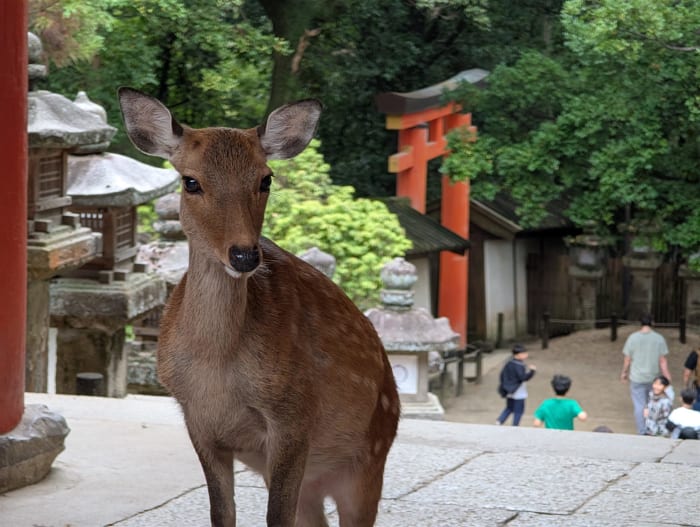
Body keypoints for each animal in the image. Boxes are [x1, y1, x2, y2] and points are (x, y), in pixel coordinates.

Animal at [118, 88, 400, 527]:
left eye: (265, 179)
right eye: (191, 181)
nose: (245, 255)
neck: (218, 372)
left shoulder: (294, 413)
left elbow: (275, 517)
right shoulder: (197, 420)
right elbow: (222, 513)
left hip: (371, 457)